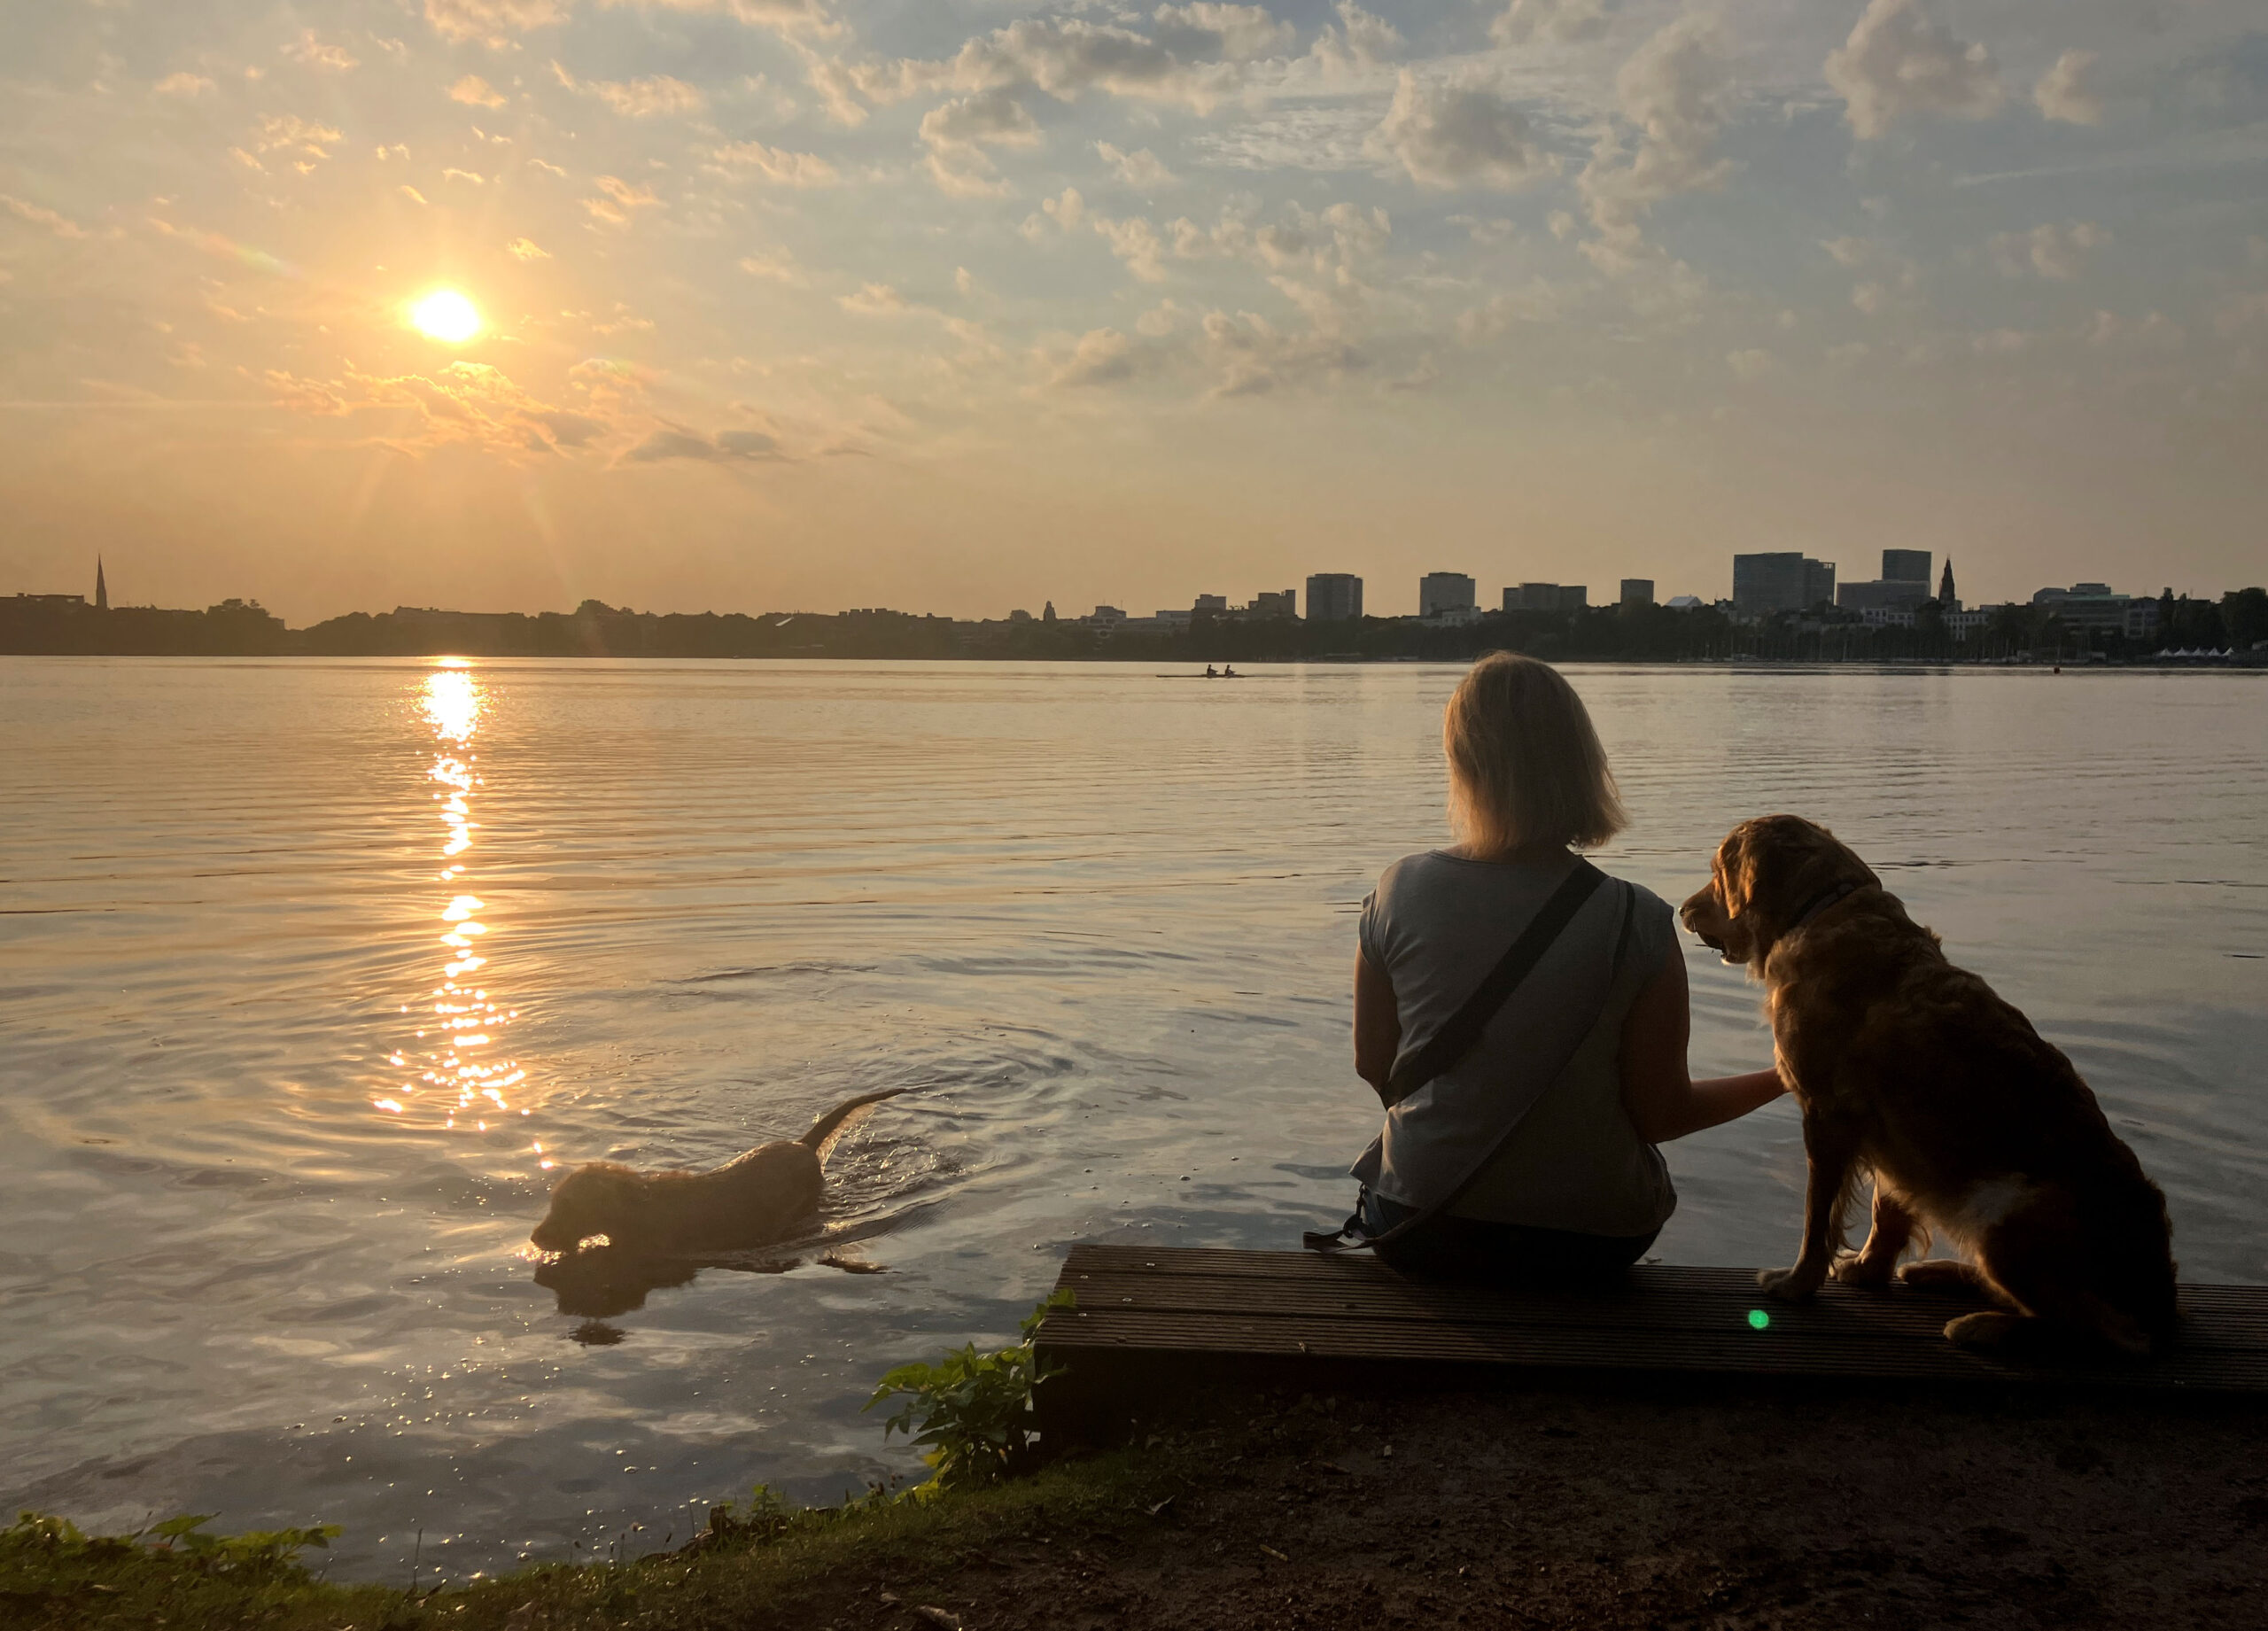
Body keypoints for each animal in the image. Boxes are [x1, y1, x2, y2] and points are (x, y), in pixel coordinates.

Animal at [1687, 816, 2177, 1361]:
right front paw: (1868, 1270)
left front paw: (1797, 1283)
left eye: (1717, 873)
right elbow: (1887, 1210)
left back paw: (1982, 1326)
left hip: (2006, 1208)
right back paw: (1943, 1273)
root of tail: (2163, 1304)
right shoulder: (1892, 1137)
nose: (1682, 911)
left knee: (2106, 1332)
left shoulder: (1826, 1114)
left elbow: (1818, 1217)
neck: (1820, 910)